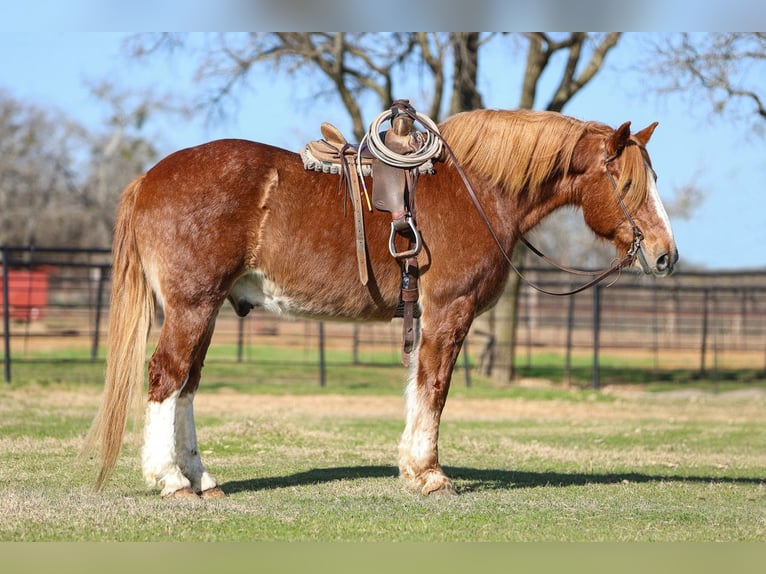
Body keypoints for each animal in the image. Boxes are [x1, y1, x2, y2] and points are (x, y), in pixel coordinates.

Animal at [85, 107, 680, 500]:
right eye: (628, 184)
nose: (665, 254)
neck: (476, 192)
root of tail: (150, 178)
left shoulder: (426, 317)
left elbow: (419, 386)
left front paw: (413, 469)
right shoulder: (449, 311)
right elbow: (435, 387)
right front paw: (431, 474)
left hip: (202, 310)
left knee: (186, 386)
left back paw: (199, 477)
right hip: (192, 306)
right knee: (167, 377)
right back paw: (170, 480)